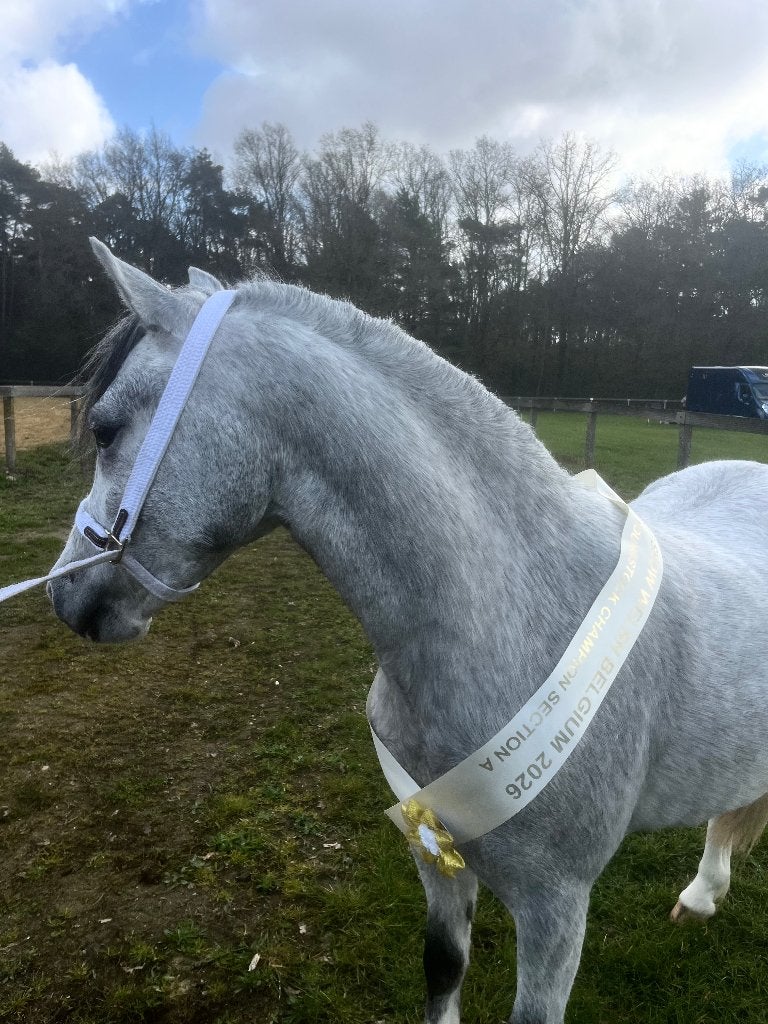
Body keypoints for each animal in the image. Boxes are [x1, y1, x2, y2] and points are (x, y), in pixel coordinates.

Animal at [48, 239, 768, 1024]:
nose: (63, 594)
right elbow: (442, 965)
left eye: (106, 428)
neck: (509, 619)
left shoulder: (556, 904)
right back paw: (702, 895)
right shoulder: (435, 847)